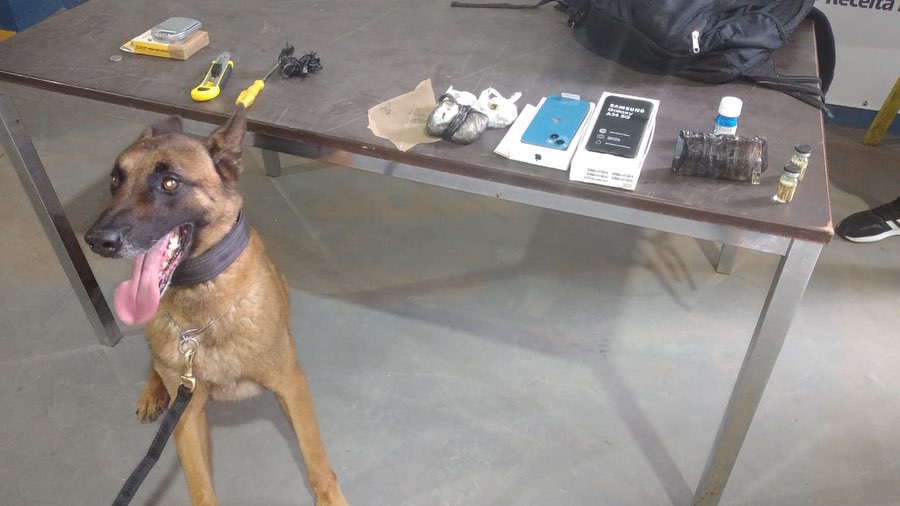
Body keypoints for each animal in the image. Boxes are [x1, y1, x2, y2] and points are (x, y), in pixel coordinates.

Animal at [84, 107, 348, 506]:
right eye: (115, 180)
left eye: (170, 183)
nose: (97, 240)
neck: (202, 316)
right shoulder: (187, 415)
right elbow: (200, 488)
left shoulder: (291, 385)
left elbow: (316, 461)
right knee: (155, 362)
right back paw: (152, 392)